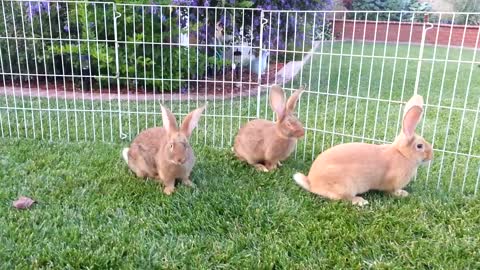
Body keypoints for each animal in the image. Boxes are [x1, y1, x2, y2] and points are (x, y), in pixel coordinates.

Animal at [292, 94, 436, 206]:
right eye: (420, 146)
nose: (431, 156)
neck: (402, 154)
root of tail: (312, 183)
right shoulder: (392, 183)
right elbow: (391, 191)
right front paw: (403, 193)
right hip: (346, 186)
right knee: (344, 198)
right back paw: (360, 201)